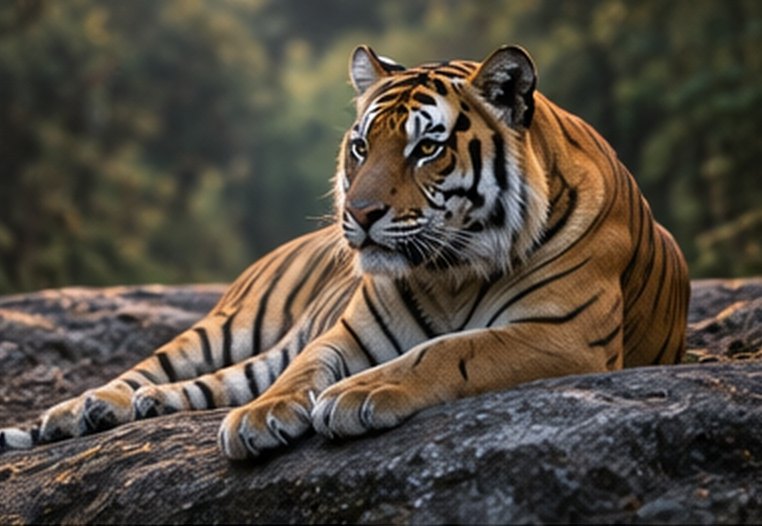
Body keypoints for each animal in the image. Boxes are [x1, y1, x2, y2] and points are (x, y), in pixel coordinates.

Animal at [0, 45, 690, 460]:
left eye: (426, 148)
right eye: (361, 146)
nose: (357, 215)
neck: (454, 273)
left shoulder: (562, 335)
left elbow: (453, 351)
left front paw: (360, 394)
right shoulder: (345, 333)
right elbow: (304, 371)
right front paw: (263, 417)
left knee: (211, 384)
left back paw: (129, 410)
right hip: (231, 325)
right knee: (164, 370)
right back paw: (82, 411)